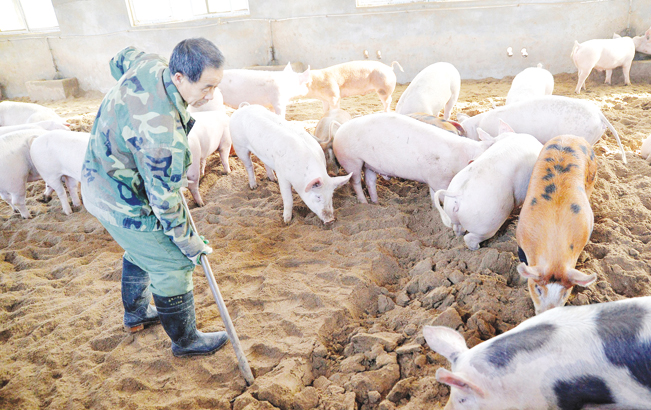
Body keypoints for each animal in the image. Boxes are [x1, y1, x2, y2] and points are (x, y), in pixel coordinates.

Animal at [334, 113, 496, 204]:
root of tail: (339, 130)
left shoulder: (432, 179)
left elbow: (433, 195)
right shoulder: (439, 179)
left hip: (369, 164)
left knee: (370, 181)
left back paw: (376, 203)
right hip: (351, 160)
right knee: (355, 182)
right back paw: (364, 203)